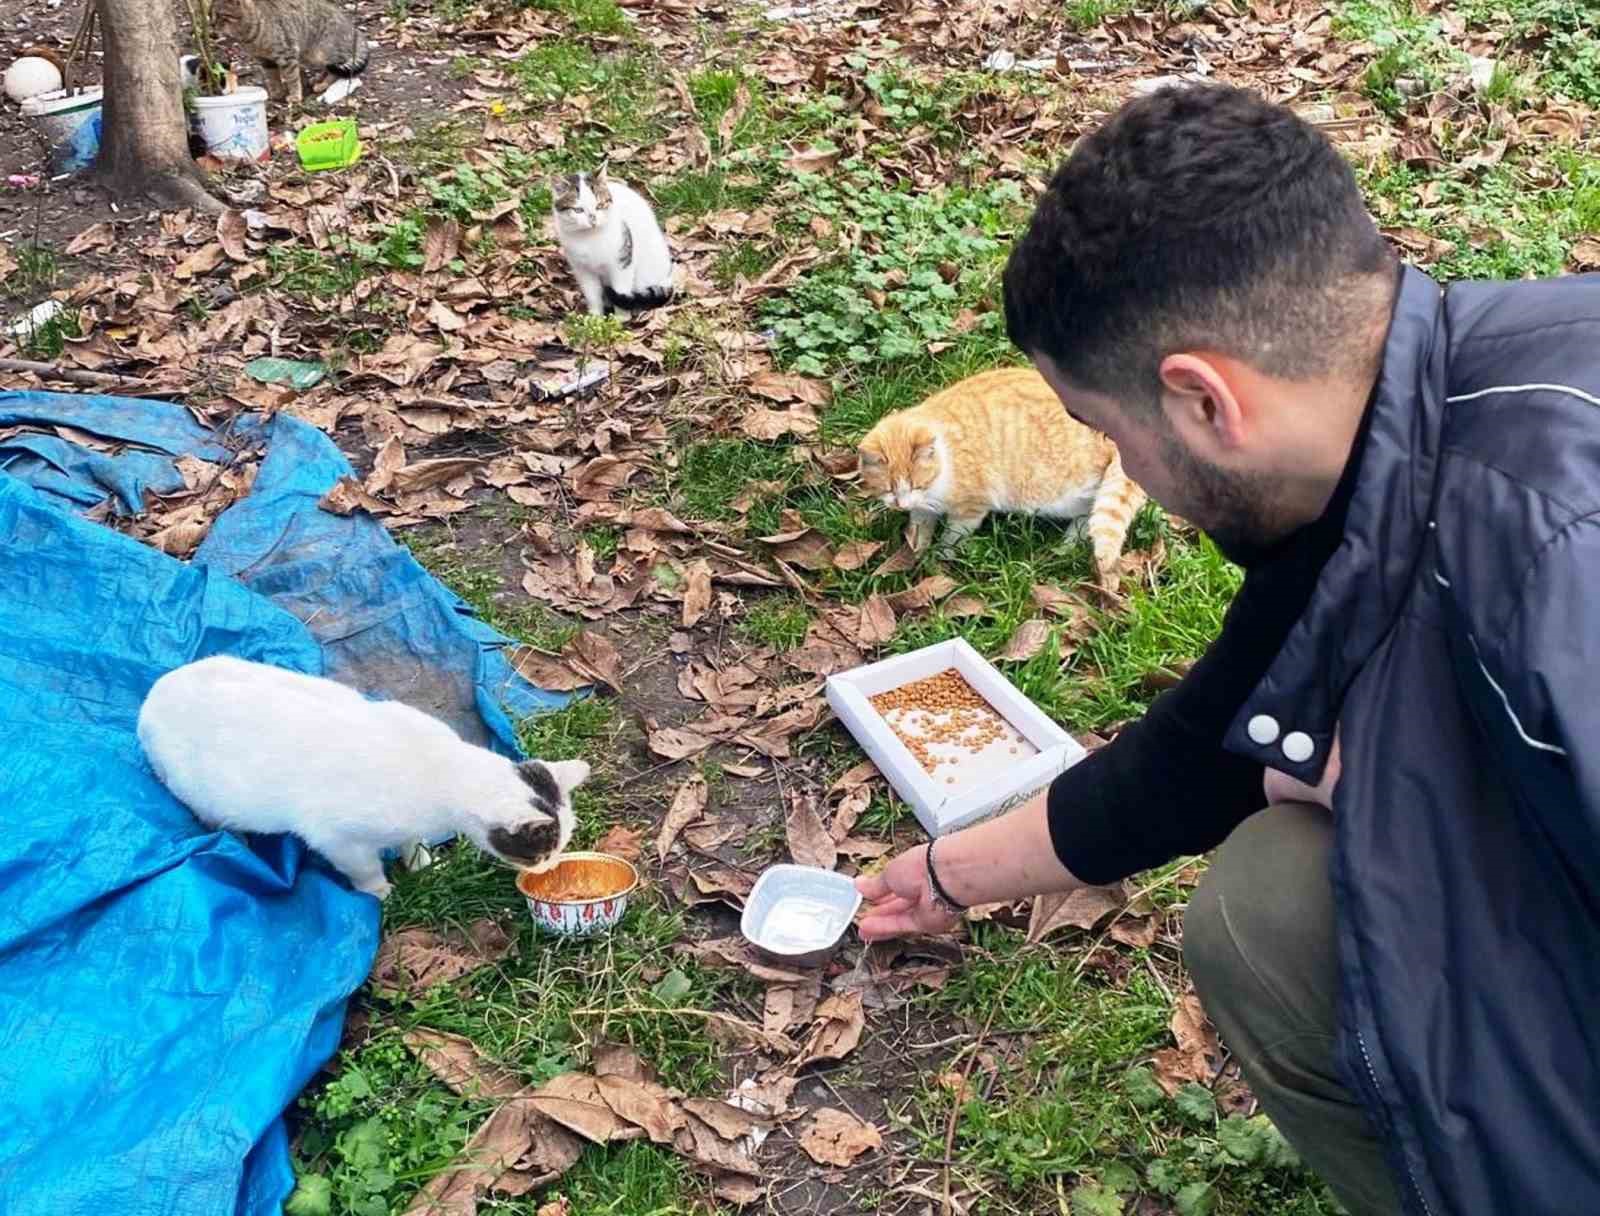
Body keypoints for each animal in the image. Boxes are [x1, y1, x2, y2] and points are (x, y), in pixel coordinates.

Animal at [136, 656, 588, 902]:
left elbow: (412, 843)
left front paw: (423, 866)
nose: (551, 867)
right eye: (541, 853)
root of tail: (151, 696)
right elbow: (364, 867)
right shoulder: (336, 838)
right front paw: (380, 891)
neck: (442, 767)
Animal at [550, 168, 675, 318]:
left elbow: (621, 290)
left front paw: (621, 319)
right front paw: (595, 318)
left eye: (599, 206)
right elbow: (592, 295)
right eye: (578, 210)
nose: (592, 219)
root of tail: (668, 278)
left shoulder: (622, 261)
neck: (590, 238)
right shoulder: (582, 269)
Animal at [857, 368, 1145, 592]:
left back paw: (1066, 544)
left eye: (917, 484)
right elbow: (920, 528)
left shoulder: (970, 510)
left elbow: (953, 536)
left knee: (1088, 514)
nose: (901, 505)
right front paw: (916, 551)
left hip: (1057, 494)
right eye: (889, 490)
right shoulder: (922, 508)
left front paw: (940, 556)